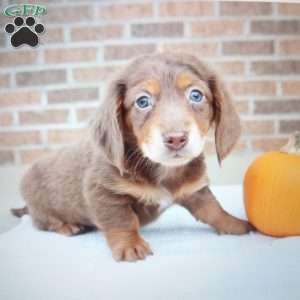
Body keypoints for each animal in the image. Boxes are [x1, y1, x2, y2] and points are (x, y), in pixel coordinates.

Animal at [14, 52, 253, 262]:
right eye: (142, 101)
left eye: (196, 95)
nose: (176, 139)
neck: (161, 168)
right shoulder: (104, 192)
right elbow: (123, 221)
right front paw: (130, 245)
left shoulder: (194, 190)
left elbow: (213, 209)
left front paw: (236, 224)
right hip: (40, 205)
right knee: (42, 222)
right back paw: (67, 226)